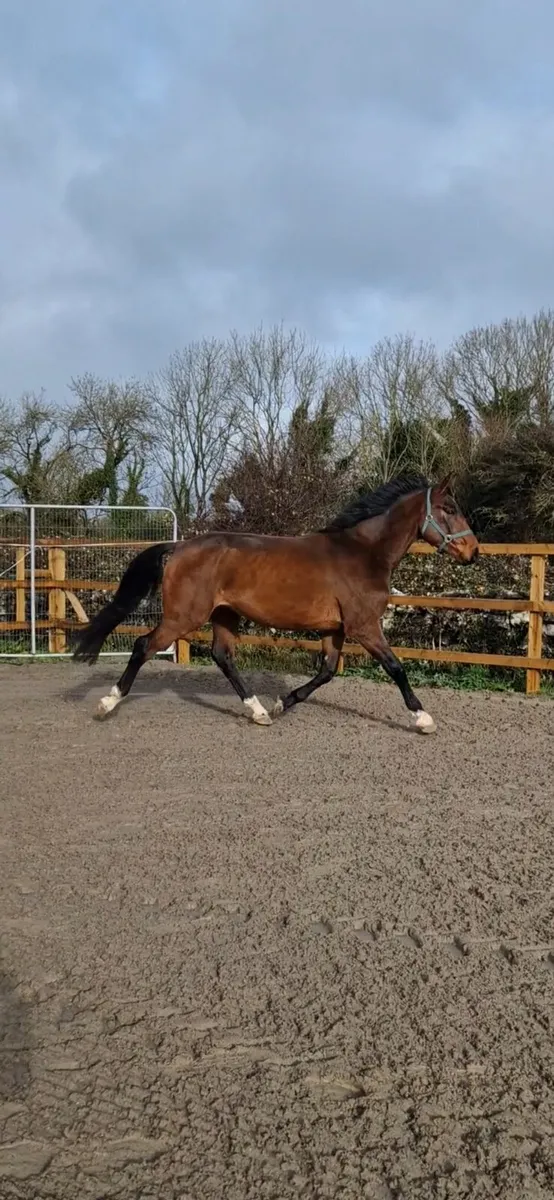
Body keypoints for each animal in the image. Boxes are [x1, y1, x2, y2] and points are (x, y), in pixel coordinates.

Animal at [73, 474, 479, 734]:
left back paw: (258, 711)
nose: (473, 552)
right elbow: (396, 668)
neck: (363, 553)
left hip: (224, 615)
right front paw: (422, 718)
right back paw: (107, 704)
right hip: (184, 616)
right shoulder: (364, 626)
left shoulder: (334, 630)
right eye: (449, 507)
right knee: (143, 646)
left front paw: (283, 702)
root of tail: (179, 547)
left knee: (223, 656)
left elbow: (326, 672)